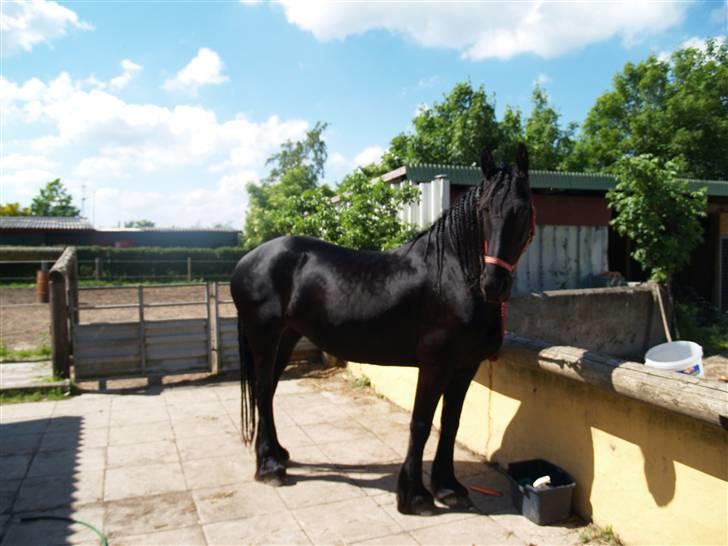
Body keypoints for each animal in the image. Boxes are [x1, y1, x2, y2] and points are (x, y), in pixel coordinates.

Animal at [233, 142, 536, 512]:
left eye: (522, 210)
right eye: (484, 209)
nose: (493, 284)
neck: (452, 276)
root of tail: (247, 260)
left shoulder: (466, 366)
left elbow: (450, 422)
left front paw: (449, 488)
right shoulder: (435, 364)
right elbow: (421, 423)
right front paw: (415, 496)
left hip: (286, 337)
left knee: (269, 391)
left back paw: (278, 455)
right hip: (264, 336)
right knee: (263, 391)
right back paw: (269, 468)